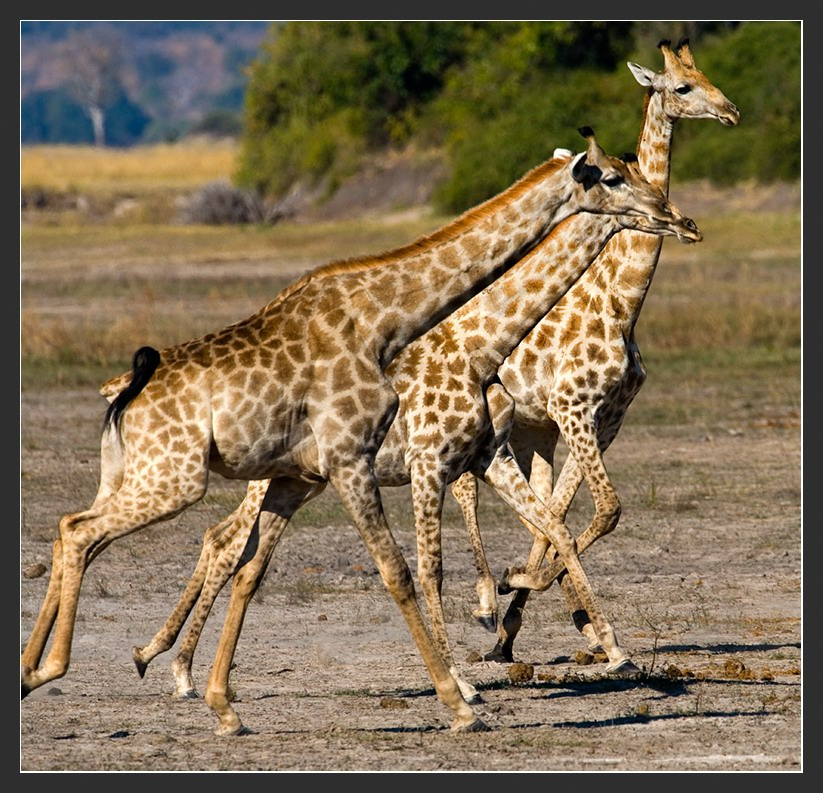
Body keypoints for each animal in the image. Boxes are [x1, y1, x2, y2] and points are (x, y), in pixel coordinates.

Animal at [21, 128, 684, 736]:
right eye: (612, 177)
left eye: (634, 169)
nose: (671, 213)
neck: (383, 323)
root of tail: (123, 390)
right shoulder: (362, 459)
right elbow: (403, 570)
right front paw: (460, 700)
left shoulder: (312, 475)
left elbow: (255, 575)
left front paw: (223, 705)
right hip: (175, 479)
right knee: (84, 532)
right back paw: (60, 669)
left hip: (139, 474)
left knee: (87, 531)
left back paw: (47, 670)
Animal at [449, 38, 740, 663]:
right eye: (681, 86)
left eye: (708, 75)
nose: (730, 111)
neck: (621, 302)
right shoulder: (572, 409)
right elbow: (600, 510)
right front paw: (532, 598)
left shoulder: (603, 418)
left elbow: (578, 511)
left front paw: (549, 607)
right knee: (464, 487)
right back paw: (487, 604)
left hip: (529, 431)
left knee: (535, 504)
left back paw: (514, 623)